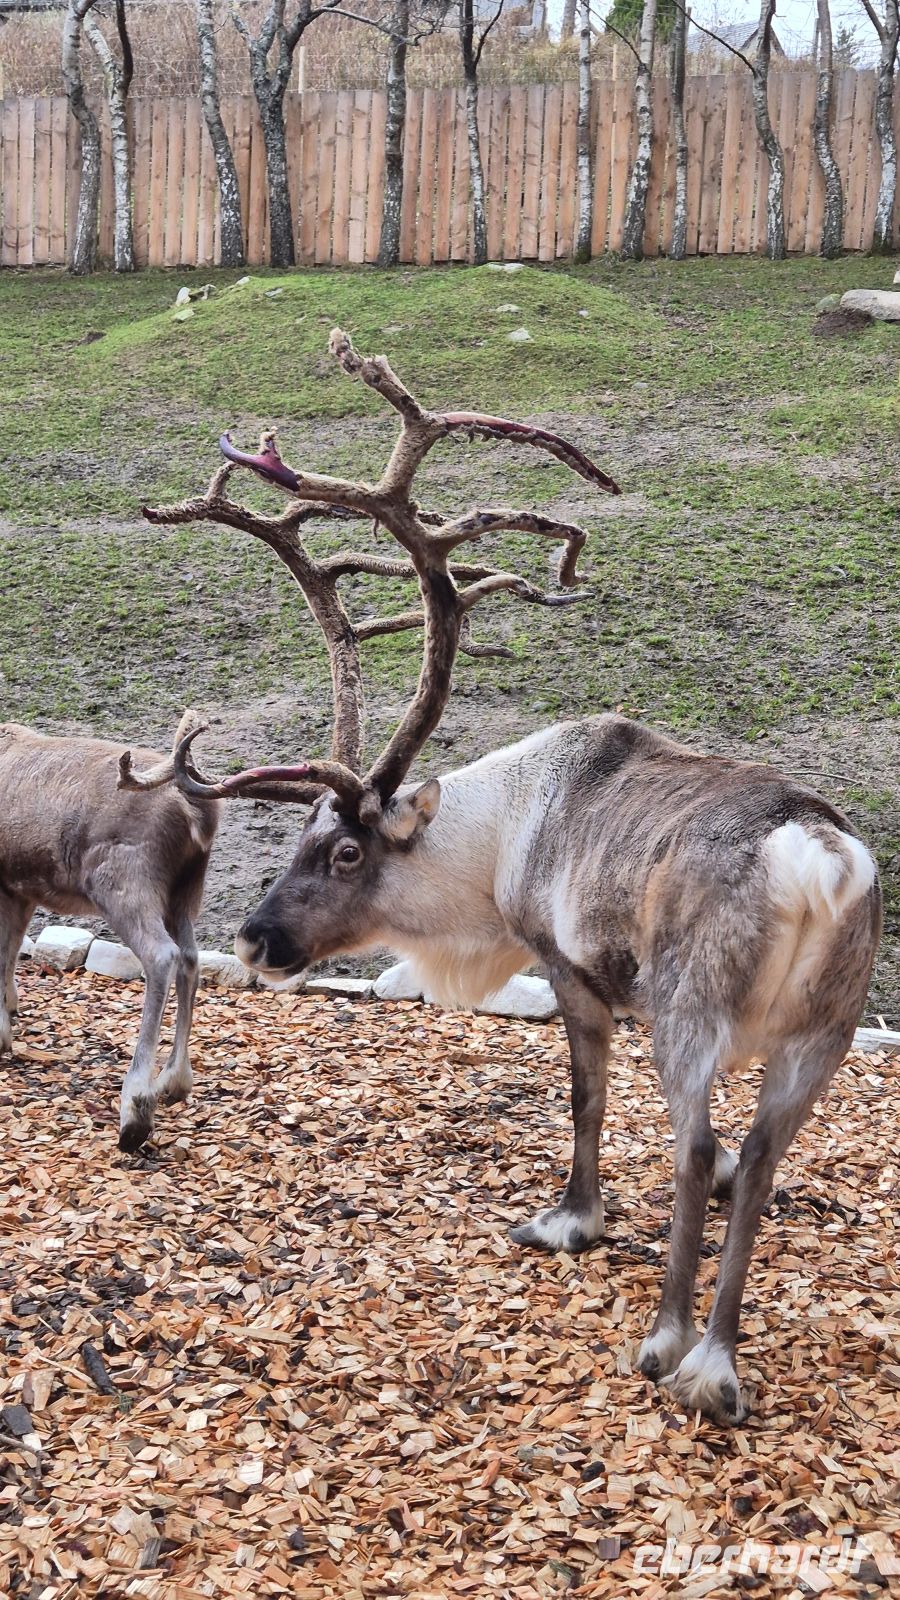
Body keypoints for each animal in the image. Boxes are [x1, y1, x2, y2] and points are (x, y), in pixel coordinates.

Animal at [0, 711, 218, 1152]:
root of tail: (198, 813)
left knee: (162, 955)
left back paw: (135, 1106)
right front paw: (10, 1011)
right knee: (191, 959)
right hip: (185, 891)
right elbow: (11, 949)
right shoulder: (20, 888)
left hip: (122, 879)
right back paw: (176, 1079)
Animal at [124, 331, 882, 1426]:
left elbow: (585, 1099)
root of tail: (816, 863)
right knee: (763, 1159)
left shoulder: (571, 969)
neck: (498, 838)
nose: (254, 939)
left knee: (698, 1148)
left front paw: (570, 1219)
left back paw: (667, 1343)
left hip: (690, 1009)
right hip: (823, 1034)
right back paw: (718, 1364)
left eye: (345, 852)